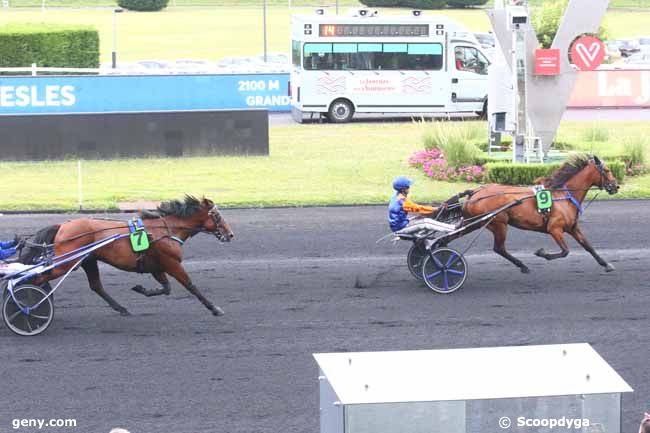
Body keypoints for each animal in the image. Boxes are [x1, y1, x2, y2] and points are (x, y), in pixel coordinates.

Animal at [20, 195, 233, 314]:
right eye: (217, 215)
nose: (230, 234)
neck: (167, 229)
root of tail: (63, 225)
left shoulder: (156, 266)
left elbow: (166, 289)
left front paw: (141, 289)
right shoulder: (171, 263)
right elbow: (191, 286)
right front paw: (215, 309)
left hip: (88, 260)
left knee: (96, 286)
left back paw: (121, 309)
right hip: (66, 263)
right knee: (37, 277)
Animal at [458, 154, 616, 272]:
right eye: (607, 170)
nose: (616, 186)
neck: (564, 196)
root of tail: (475, 193)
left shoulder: (572, 228)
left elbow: (587, 245)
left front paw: (606, 264)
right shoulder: (554, 228)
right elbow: (565, 251)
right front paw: (542, 253)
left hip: (476, 222)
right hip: (499, 224)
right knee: (499, 248)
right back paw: (523, 266)